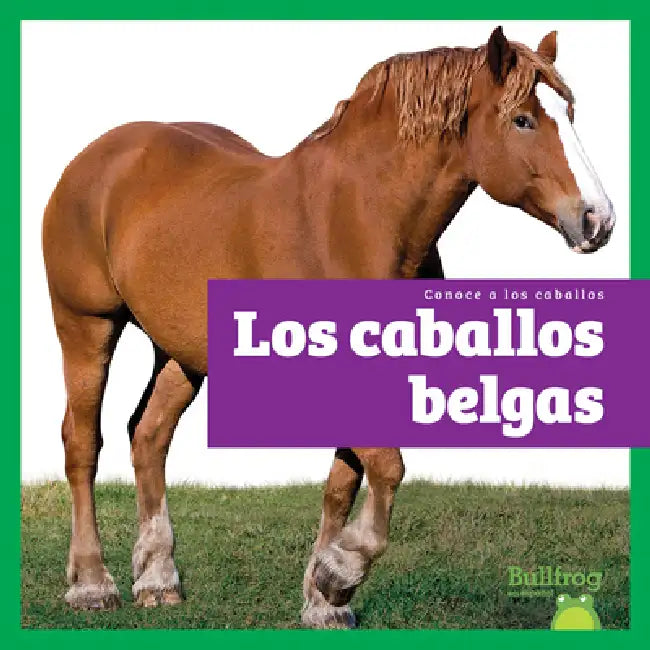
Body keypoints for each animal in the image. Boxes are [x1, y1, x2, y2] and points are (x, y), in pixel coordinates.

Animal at [42, 26, 615, 628]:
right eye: (522, 119)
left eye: (568, 112)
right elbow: (387, 467)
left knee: (148, 437)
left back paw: (157, 579)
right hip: (85, 325)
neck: (356, 220)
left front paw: (325, 596)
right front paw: (340, 575)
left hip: (179, 350)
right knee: (82, 442)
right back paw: (91, 583)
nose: (597, 219)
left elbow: (345, 483)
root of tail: (98, 156)